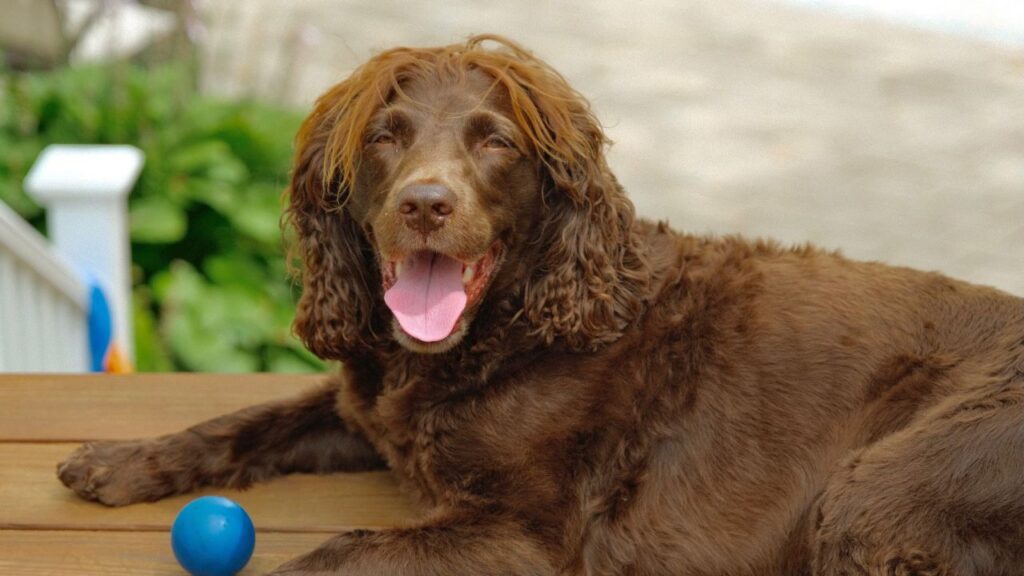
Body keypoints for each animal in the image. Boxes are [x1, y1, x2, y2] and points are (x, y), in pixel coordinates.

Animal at [58, 36, 1024, 573]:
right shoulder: (367, 410)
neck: (513, 328)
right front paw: (121, 459)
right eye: (386, 137)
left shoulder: (524, 534)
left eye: (496, 144)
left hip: (881, 493)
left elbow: (337, 555)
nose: (426, 204)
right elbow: (249, 420)